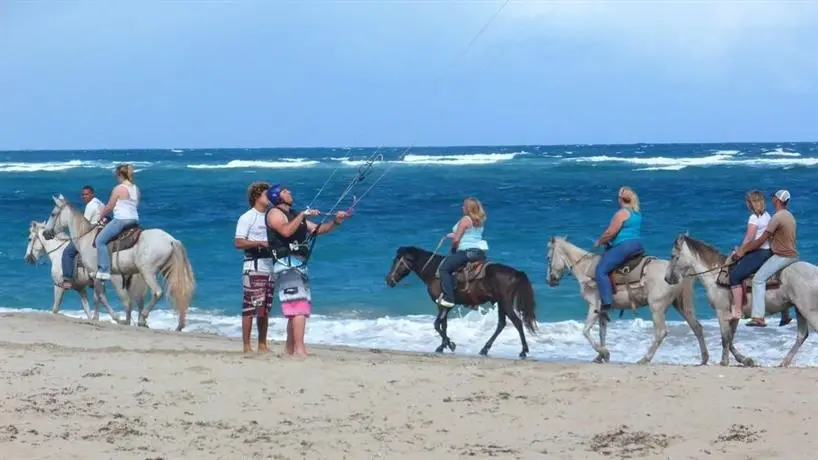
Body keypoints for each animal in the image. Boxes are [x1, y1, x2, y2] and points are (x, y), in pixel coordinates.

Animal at [42, 193, 195, 330]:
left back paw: (142, 319)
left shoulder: (95, 273)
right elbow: (100, 297)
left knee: (156, 293)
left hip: (147, 272)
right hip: (164, 270)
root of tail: (171, 240)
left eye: (53, 214)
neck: (85, 237)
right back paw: (178, 325)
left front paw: (112, 318)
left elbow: (100, 297)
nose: (45, 233)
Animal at [386, 246, 540, 358]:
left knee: (517, 322)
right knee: (501, 324)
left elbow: (437, 325)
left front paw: (450, 345)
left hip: (506, 303)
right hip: (501, 304)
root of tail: (516, 272)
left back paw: (523, 351)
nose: (388, 280)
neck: (434, 272)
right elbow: (443, 325)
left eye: (396, 261)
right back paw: (485, 349)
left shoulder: (442, 304)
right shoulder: (444, 305)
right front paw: (443, 346)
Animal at [540, 235, 708, 364]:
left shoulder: (594, 306)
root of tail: (677, 274)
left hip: (657, 307)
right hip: (682, 305)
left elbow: (586, 331)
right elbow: (602, 333)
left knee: (661, 333)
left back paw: (645, 359)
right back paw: (704, 358)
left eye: (548, 257)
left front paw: (604, 353)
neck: (586, 268)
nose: (549, 280)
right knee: (697, 327)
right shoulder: (602, 311)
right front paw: (600, 356)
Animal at [664, 234, 816, 366]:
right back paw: (784, 362)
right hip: (800, 310)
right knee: (801, 335)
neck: (715, 275)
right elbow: (730, 338)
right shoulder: (735, 316)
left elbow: (725, 338)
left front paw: (724, 361)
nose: (667, 278)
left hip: (808, 311)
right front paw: (745, 360)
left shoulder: (721, 312)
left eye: (673, 256)